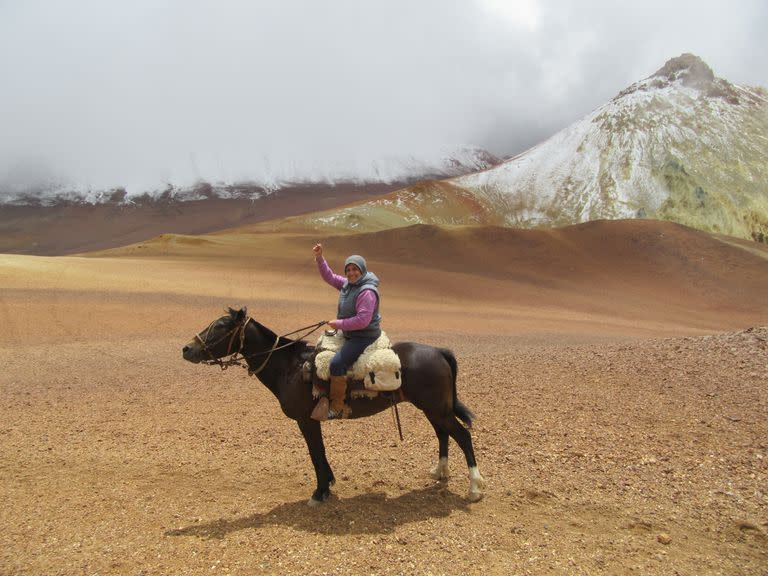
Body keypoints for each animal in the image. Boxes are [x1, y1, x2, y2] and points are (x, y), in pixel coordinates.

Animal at [182, 306, 486, 504]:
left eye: (220, 327)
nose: (186, 349)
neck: (290, 367)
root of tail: (439, 352)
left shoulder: (306, 420)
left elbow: (315, 453)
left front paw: (319, 492)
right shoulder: (311, 420)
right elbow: (320, 454)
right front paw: (327, 484)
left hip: (437, 408)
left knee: (462, 436)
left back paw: (474, 488)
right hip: (435, 409)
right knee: (443, 434)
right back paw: (439, 472)